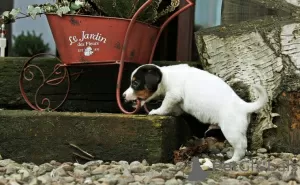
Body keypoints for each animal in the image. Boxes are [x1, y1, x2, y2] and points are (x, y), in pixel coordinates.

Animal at [123, 64, 268, 163]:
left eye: (135, 83)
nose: (123, 96)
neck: (166, 77)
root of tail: (243, 105)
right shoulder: (177, 101)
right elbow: (176, 109)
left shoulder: (172, 95)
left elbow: (165, 105)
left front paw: (157, 111)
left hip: (231, 131)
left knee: (241, 146)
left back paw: (233, 159)